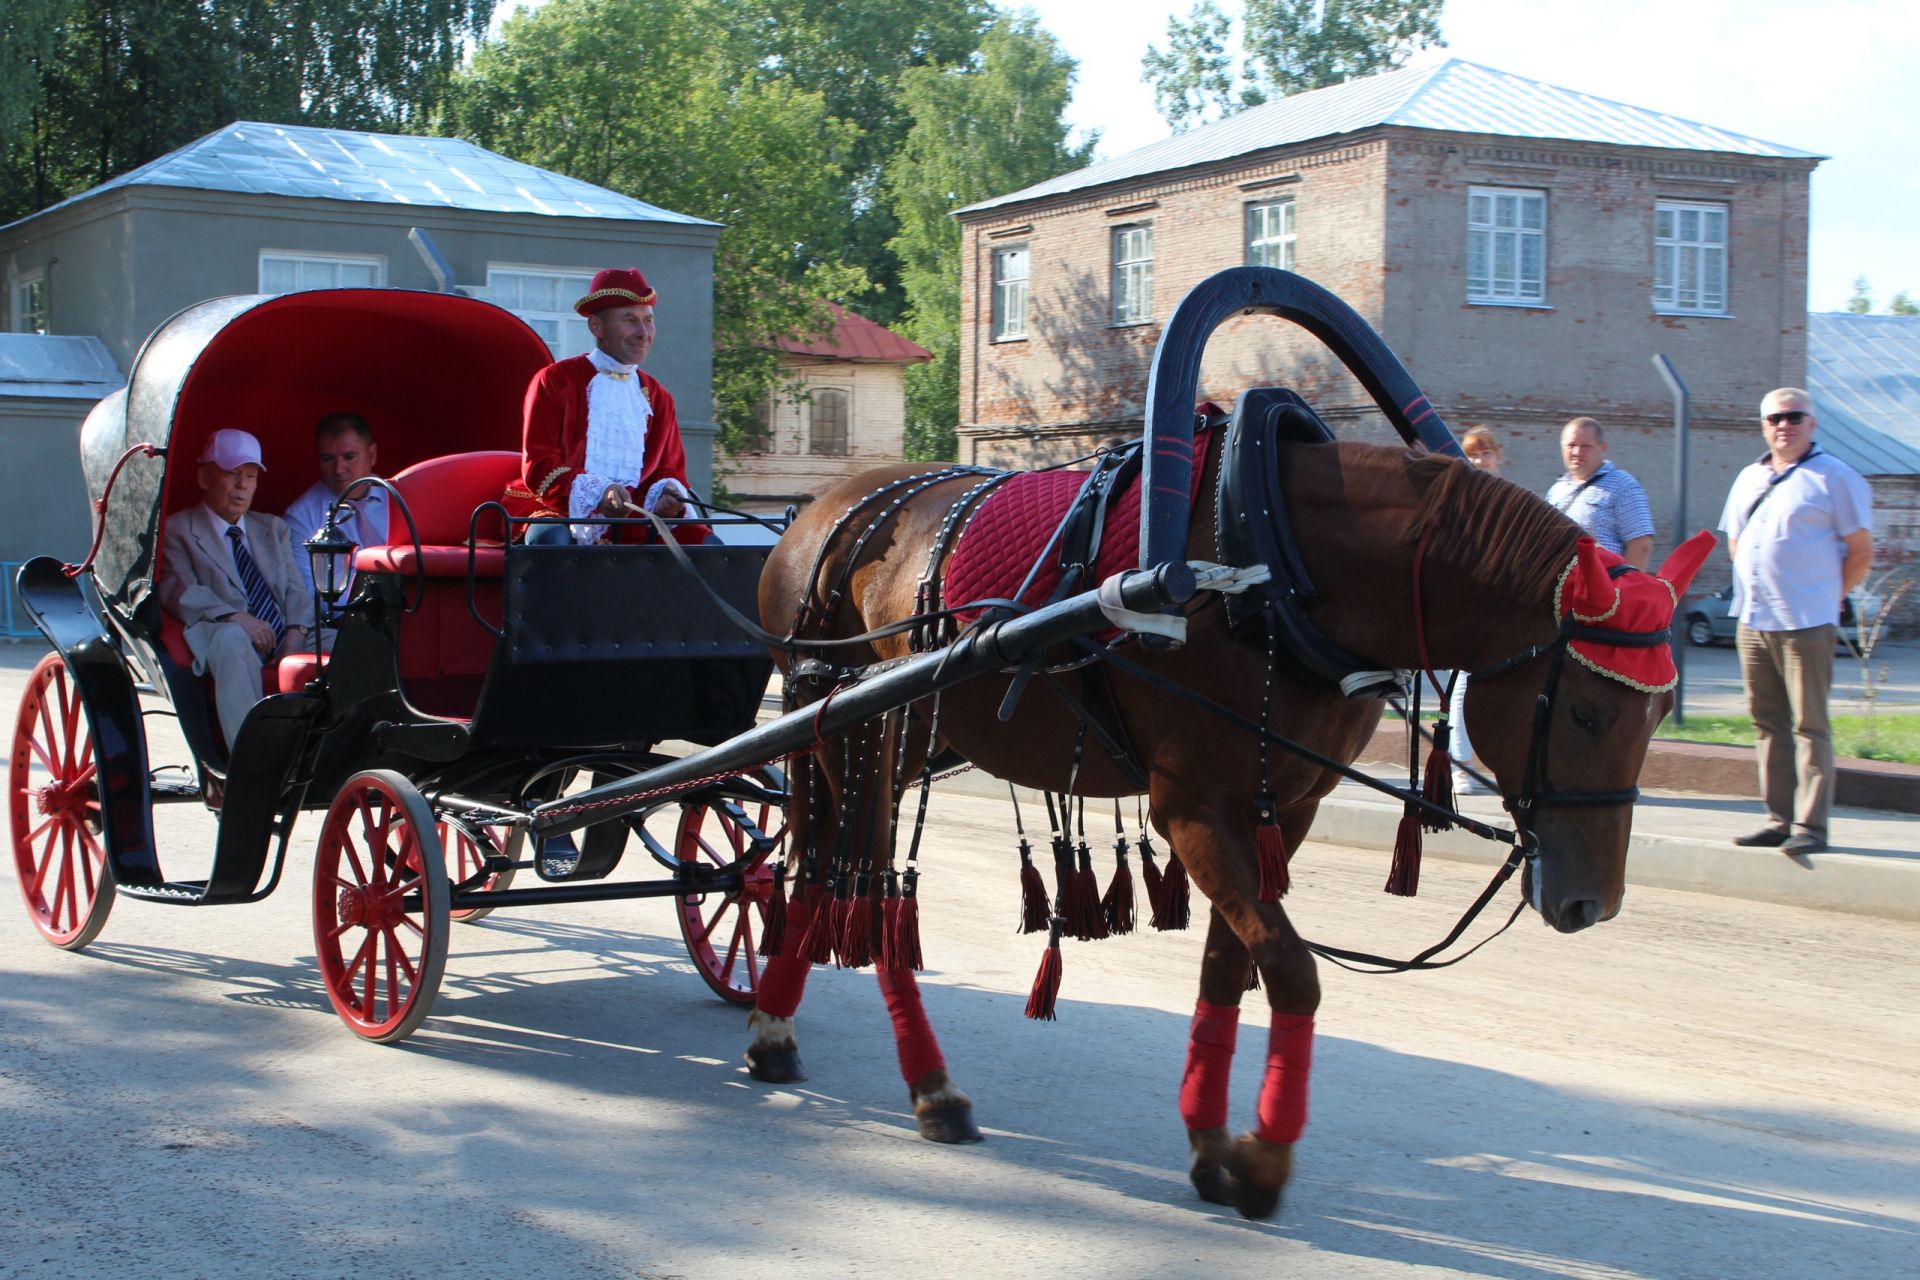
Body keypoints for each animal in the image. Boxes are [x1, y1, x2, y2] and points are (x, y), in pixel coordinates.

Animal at [744, 437, 1712, 1220]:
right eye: (1584, 711)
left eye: (1659, 712)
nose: (1591, 904)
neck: (1275, 572)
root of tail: (821, 511)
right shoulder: (1193, 808)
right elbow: (1291, 970)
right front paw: (1265, 1159)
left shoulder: (1278, 808)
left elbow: (1227, 966)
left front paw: (1213, 1144)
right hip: (854, 729)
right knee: (863, 886)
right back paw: (914, 1079)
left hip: (899, 737)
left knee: (827, 872)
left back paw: (783, 1028)